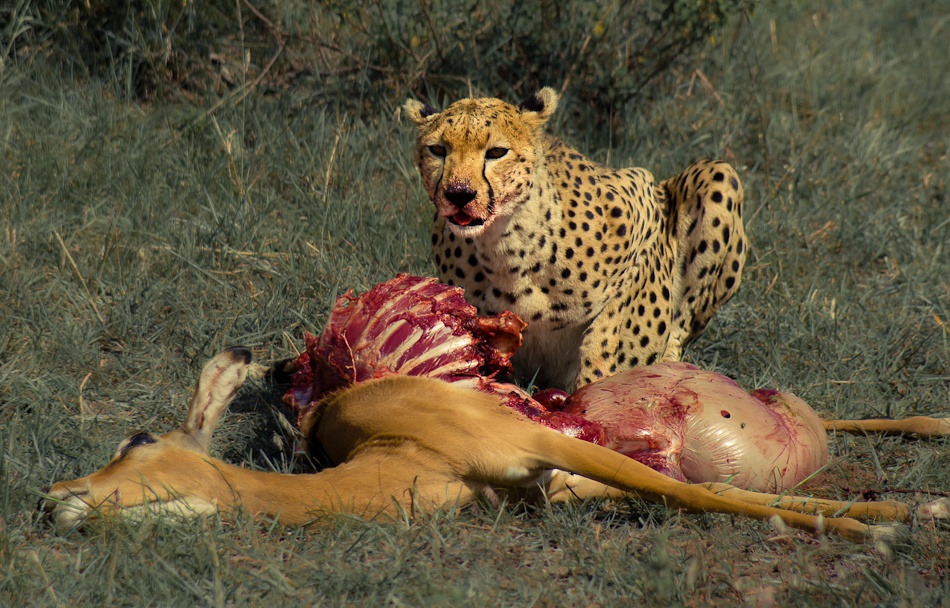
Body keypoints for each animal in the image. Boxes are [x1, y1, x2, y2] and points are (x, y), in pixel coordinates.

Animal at [404, 87, 746, 391]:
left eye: (496, 152)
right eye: (438, 150)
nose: (459, 194)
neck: (505, 246)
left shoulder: (643, 200)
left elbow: (607, 330)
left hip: (719, 174)